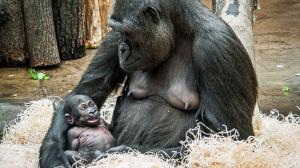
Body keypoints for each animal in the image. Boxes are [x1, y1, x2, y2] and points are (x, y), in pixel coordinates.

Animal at [39, 0, 255, 167]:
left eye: (128, 32)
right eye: (118, 32)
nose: (121, 49)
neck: (179, 30)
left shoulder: (217, 47)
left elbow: (227, 138)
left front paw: (123, 152)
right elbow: (86, 91)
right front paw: (55, 160)